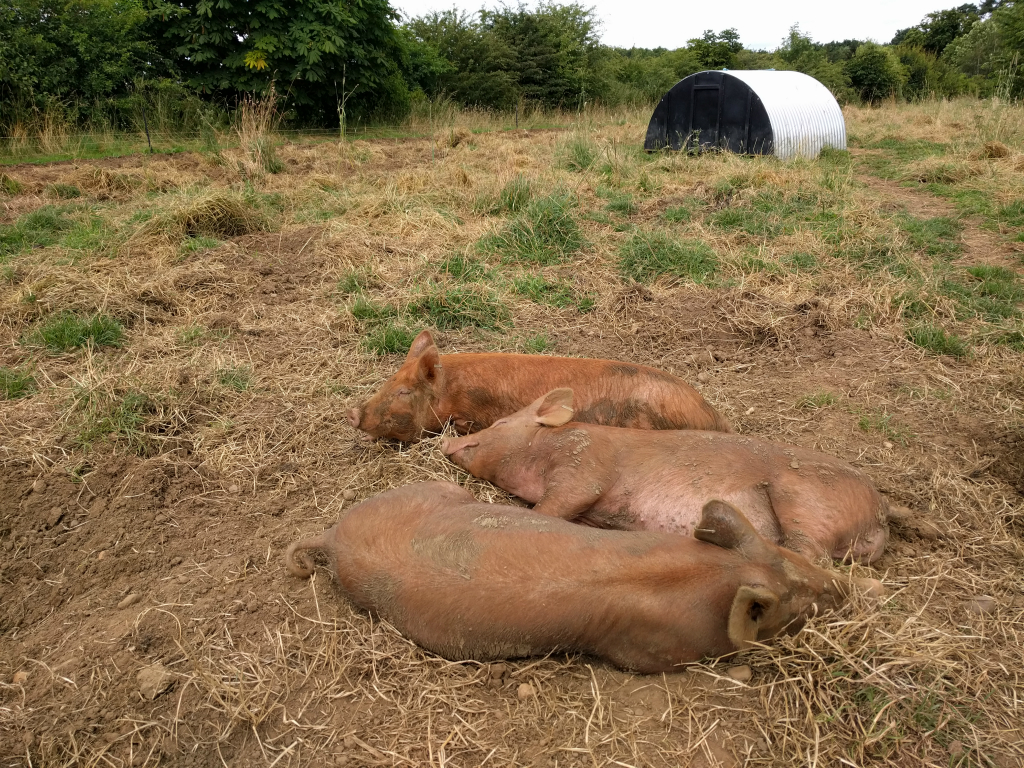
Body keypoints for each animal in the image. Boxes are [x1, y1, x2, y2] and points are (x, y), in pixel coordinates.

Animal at [285, 481, 877, 673]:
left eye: (782, 551)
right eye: (794, 602)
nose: (842, 589)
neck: (710, 575)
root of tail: (332, 538)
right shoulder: (648, 653)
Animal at [441, 388, 889, 564]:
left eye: (500, 423)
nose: (445, 442)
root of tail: (880, 510)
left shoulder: (585, 465)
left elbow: (555, 505)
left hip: (807, 501)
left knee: (806, 550)